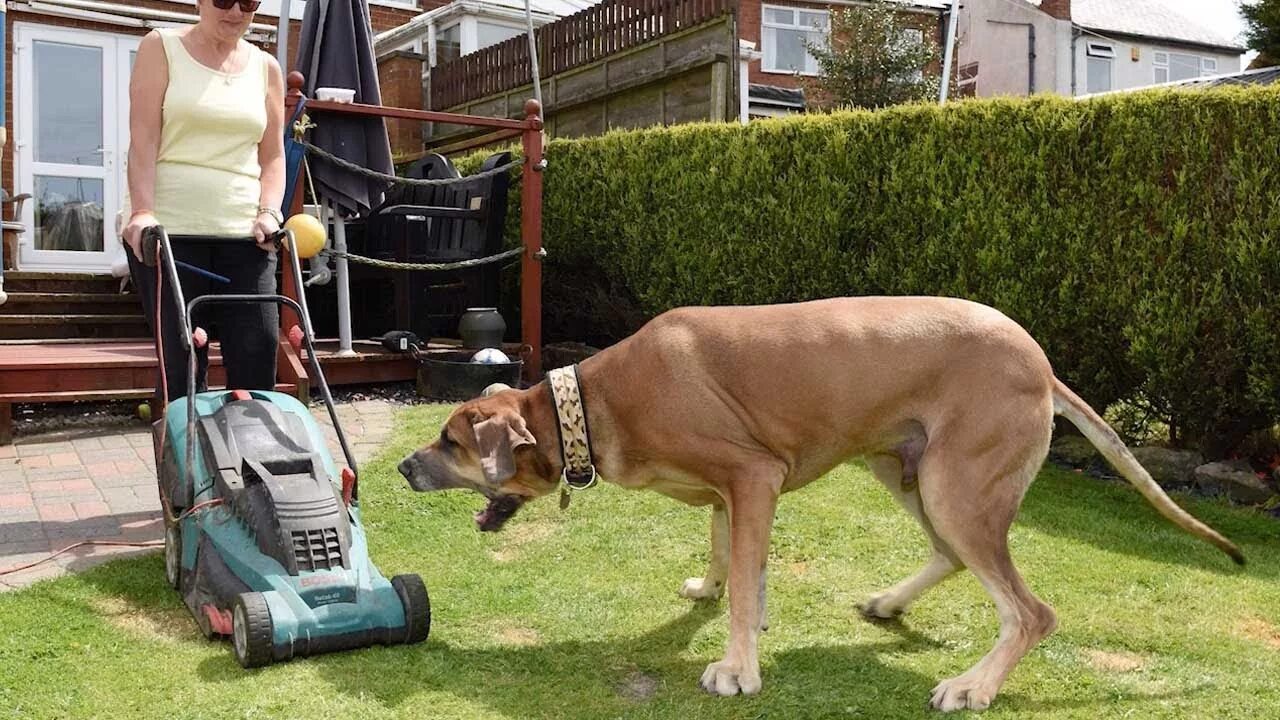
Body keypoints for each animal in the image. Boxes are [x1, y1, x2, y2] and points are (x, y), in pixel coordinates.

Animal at [399, 294, 1239, 707]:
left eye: (449, 441)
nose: (404, 467)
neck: (591, 403)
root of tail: (1042, 364)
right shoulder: (733, 493)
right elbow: (731, 558)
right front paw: (716, 592)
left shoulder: (753, 475)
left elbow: (744, 581)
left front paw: (737, 667)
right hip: (903, 467)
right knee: (948, 554)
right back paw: (891, 603)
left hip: (956, 482)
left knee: (1030, 612)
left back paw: (973, 685)